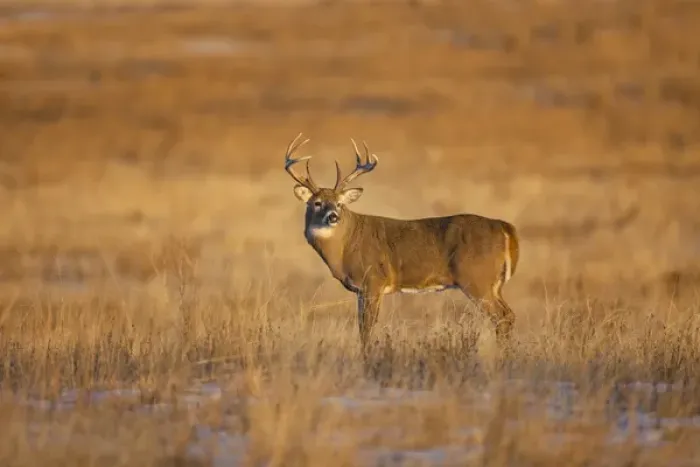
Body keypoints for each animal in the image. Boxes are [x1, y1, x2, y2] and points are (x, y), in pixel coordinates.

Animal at [283, 133, 520, 353]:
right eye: (317, 203)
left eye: (339, 203)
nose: (333, 216)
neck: (345, 247)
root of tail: (504, 227)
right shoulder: (361, 290)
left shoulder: (373, 280)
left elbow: (366, 329)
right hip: (493, 284)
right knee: (509, 315)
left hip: (476, 278)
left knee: (502, 317)